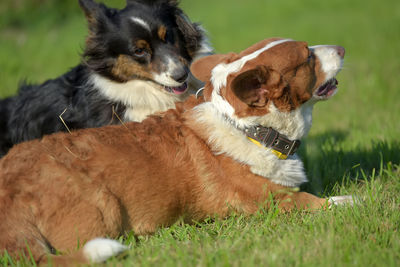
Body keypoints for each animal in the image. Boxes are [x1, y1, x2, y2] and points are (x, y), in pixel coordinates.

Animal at [0, 38, 350, 266]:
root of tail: (9, 203)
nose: (343, 49)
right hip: (105, 209)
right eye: (307, 58)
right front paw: (352, 201)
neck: (249, 128)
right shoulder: (273, 201)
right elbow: (320, 202)